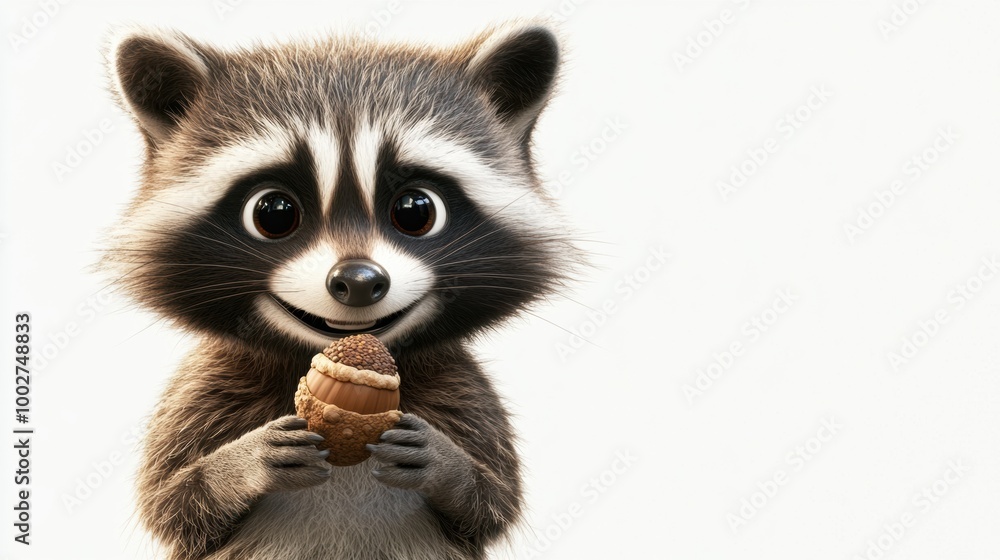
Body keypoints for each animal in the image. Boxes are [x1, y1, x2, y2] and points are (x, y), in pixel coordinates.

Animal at [104, 21, 570, 560]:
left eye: (416, 209)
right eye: (274, 213)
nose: (359, 280)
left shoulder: (462, 390)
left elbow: (492, 503)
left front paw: (447, 464)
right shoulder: (207, 387)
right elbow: (170, 502)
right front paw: (239, 463)